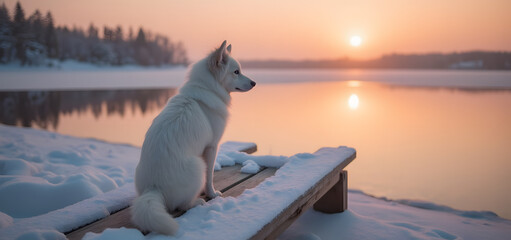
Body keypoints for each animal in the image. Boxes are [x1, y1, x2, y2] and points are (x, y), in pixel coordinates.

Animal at [132, 40, 256, 234]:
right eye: (236, 72)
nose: (254, 82)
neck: (208, 89)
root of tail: (154, 188)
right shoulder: (212, 147)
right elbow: (210, 176)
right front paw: (212, 193)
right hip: (198, 165)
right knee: (182, 205)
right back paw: (197, 201)